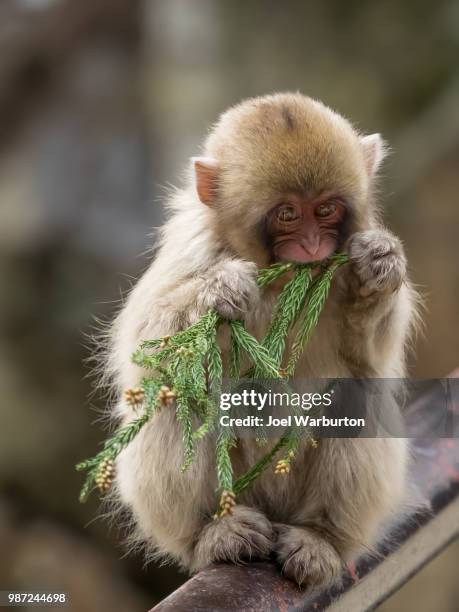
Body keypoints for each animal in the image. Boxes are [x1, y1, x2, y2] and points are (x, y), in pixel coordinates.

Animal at [110, 94, 416, 588]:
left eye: (326, 209)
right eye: (287, 214)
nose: (311, 245)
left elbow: (371, 360)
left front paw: (380, 266)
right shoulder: (192, 251)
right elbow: (141, 350)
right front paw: (221, 292)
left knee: (356, 393)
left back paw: (321, 538)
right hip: (241, 492)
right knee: (180, 395)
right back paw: (215, 533)